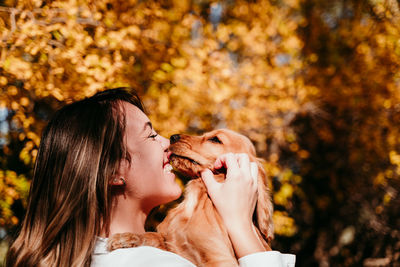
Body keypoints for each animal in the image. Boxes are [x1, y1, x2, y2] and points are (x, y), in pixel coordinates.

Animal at [108, 129, 274, 266]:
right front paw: (126, 237)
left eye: (215, 139)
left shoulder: (220, 258)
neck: (195, 203)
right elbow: (153, 236)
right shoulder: (170, 241)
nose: (173, 137)